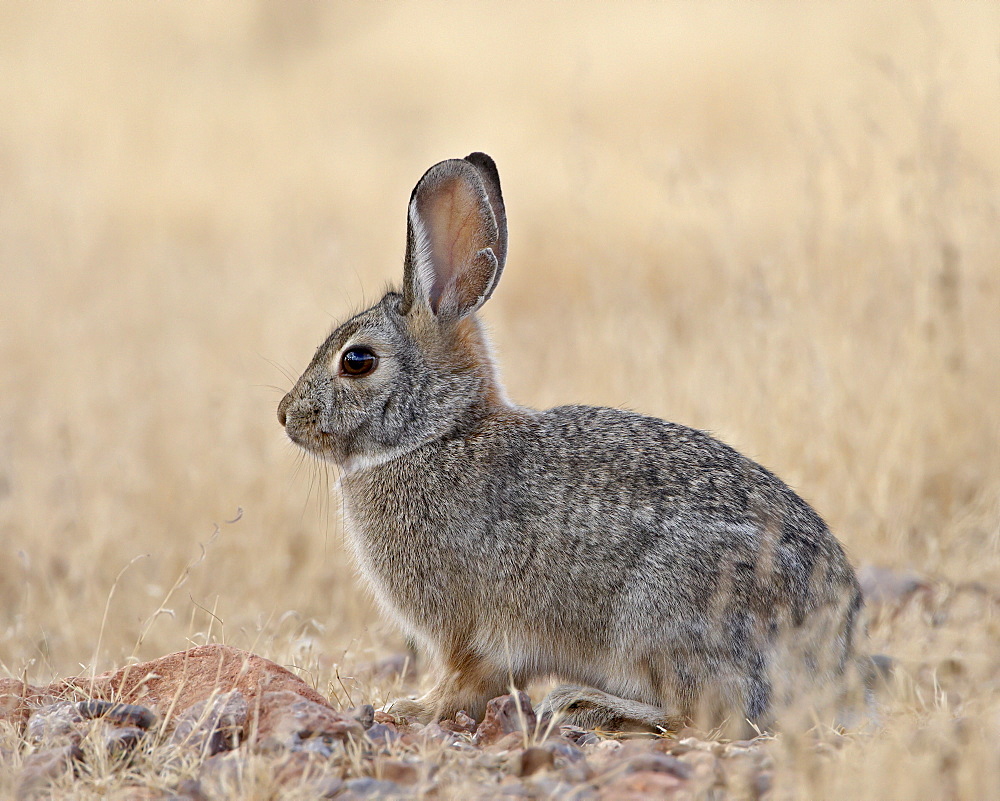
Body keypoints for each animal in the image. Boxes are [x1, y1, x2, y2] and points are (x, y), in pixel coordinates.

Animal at [280, 153, 868, 736]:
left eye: (357, 361)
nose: (286, 415)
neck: (439, 431)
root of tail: (829, 647)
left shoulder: (469, 634)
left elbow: (464, 684)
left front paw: (411, 709)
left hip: (662, 616)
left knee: (703, 714)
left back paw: (583, 703)